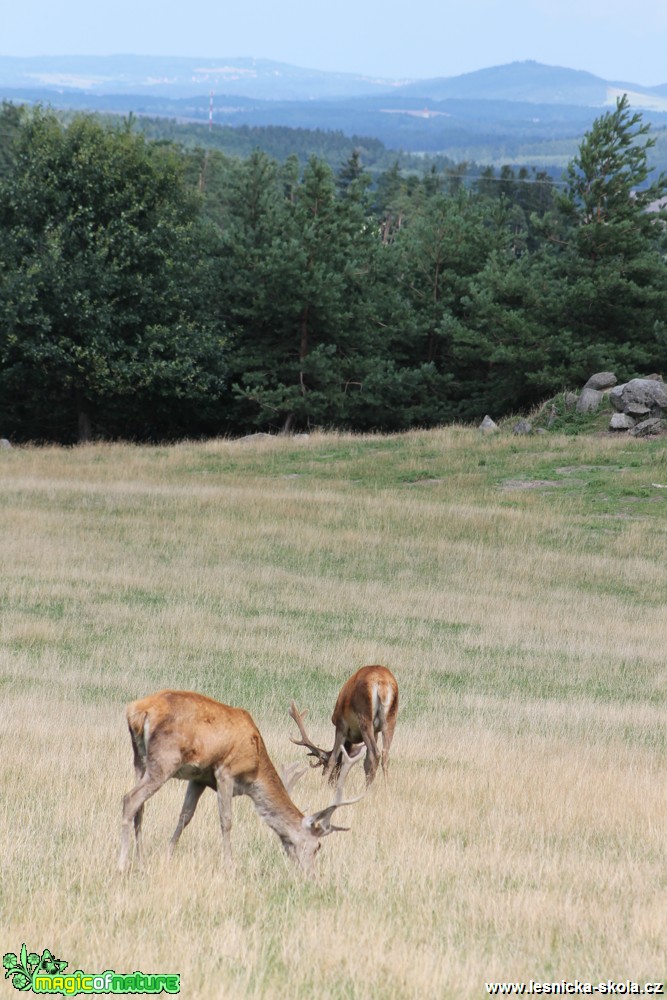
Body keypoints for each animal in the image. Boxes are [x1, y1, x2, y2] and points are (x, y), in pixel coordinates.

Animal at [117, 692, 362, 872]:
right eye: (318, 846)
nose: (311, 875)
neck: (254, 768)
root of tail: (136, 712)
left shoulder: (199, 778)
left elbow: (185, 816)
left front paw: (168, 855)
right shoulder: (225, 772)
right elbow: (226, 820)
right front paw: (230, 865)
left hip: (139, 758)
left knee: (140, 807)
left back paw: (140, 860)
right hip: (165, 760)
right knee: (130, 799)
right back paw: (122, 864)